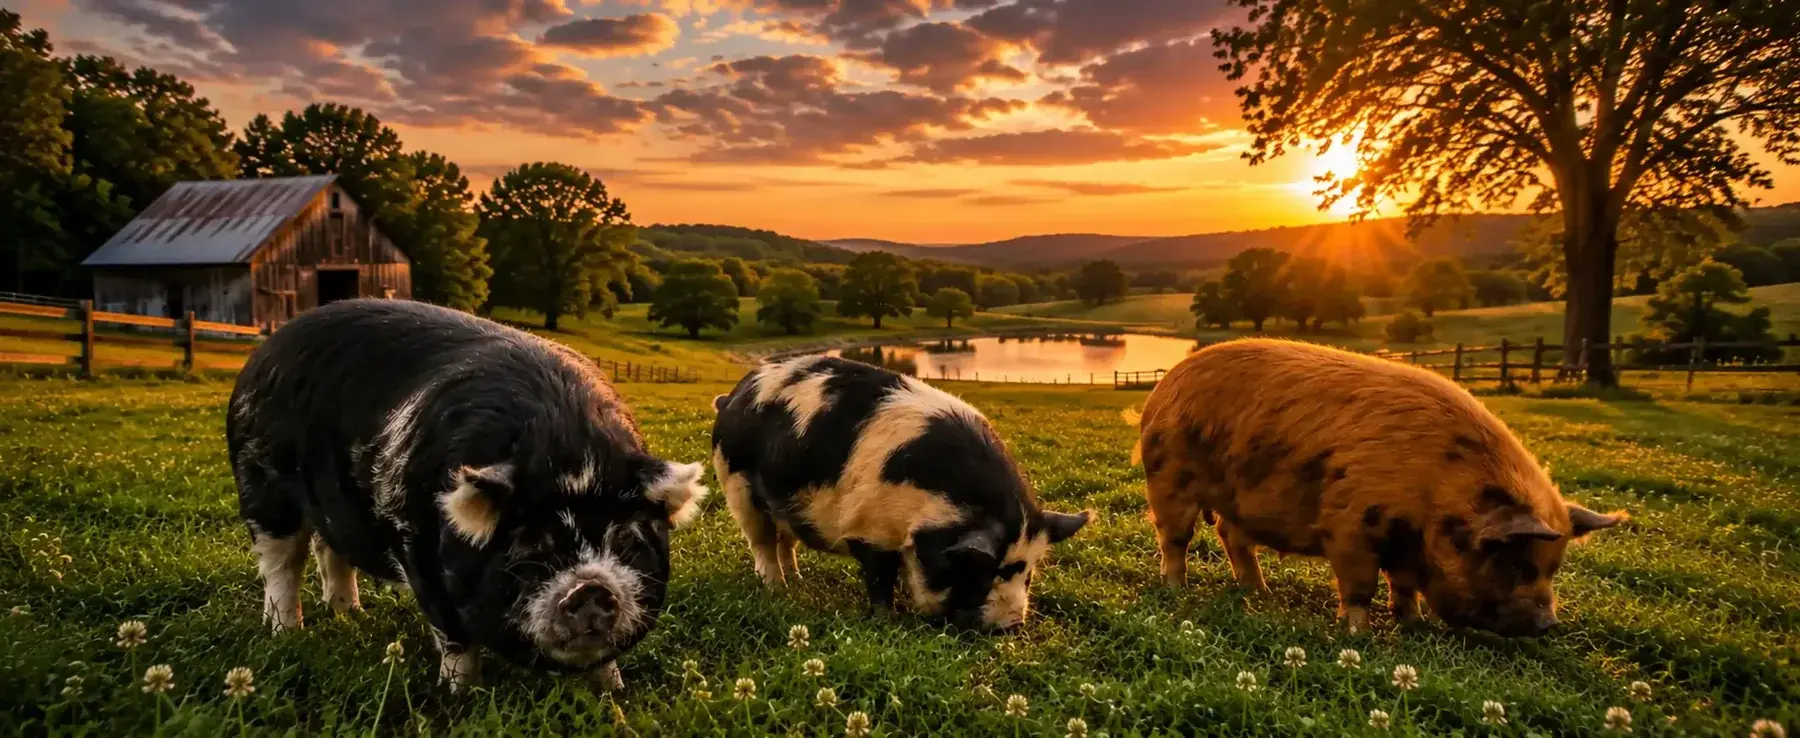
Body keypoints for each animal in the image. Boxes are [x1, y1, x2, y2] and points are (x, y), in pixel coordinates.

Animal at [226, 299, 708, 692]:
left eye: (627, 538)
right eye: (530, 544)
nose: (590, 588)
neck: (566, 448)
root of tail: (267, 348)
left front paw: (613, 692)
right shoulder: (419, 552)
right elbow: (455, 641)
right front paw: (462, 696)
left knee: (331, 550)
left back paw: (350, 614)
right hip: (260, 484)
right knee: (281, 564)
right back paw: (288, 633)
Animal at [710, 355, 1091, 631]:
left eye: (1029, 573)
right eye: (980, 569)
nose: (1011, 626)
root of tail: (732, 397)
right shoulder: (870, 529)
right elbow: (880, 578)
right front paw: (887, 619)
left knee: (786, 540)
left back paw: (797, 578)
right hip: (736, 485)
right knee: (762, 542)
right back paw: (777, 588)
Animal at [1131, 338, 1625, 637]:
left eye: (1553, 568)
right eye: (1519, 564)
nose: (1548, 624)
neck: (1438, 493)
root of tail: (1164, 385)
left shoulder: (1405, 545)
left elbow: (1403, 585)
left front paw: (1412, 624)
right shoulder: (1351, 526)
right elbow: (1360, 585)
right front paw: (1359, 633)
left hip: (1235, 499)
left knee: (1233, 537)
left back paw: (1259, 593)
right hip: (1169, 475)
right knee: (1175, 537)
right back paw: (1177, 589)